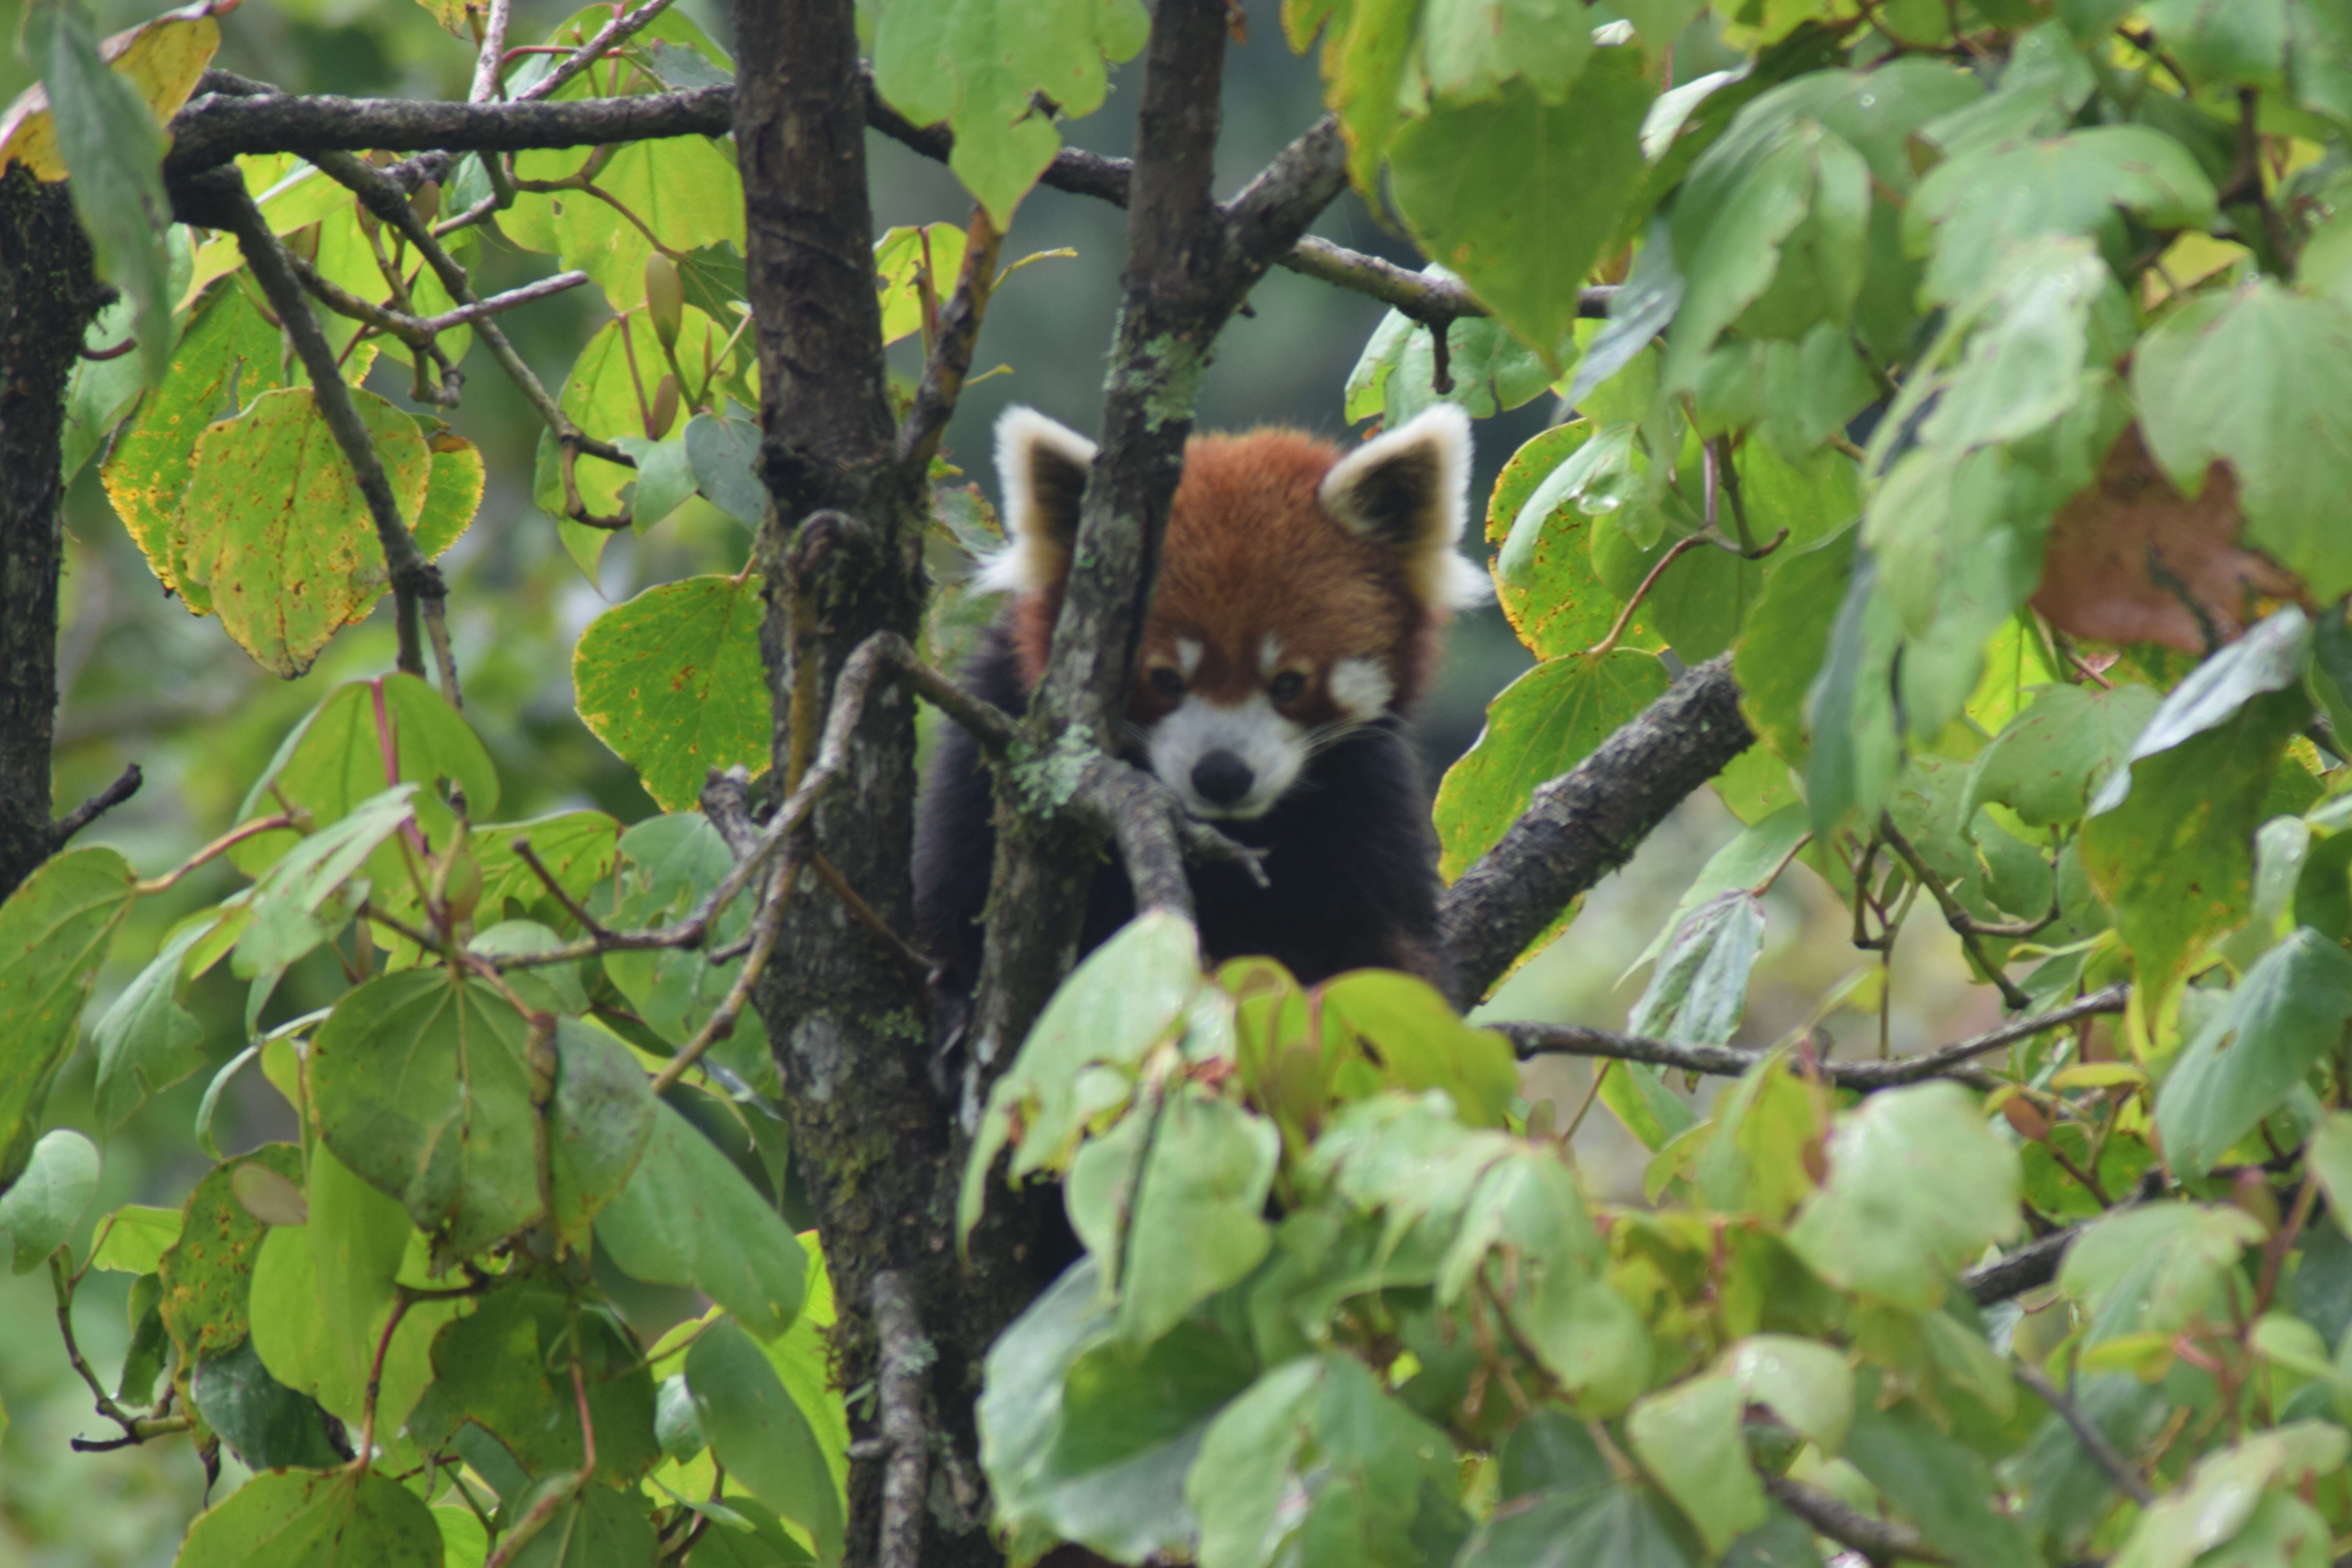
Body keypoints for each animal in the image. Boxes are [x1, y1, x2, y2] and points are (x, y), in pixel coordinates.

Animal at [908, 399, 1477, 1001]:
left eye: (1289, 683)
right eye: (1166, 680)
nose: (1222, 776)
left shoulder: (1368, 804)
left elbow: (1388, 954)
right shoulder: (998, 729)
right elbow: (956, 897)